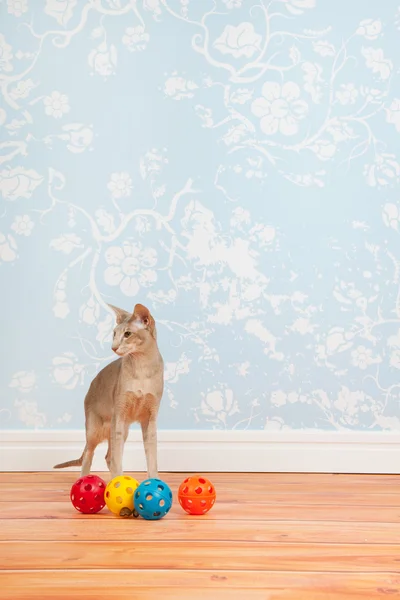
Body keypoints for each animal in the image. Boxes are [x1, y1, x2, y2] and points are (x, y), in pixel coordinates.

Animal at [54, 302, 163, 480]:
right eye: (114, 334)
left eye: (127, 334)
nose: (114, 347)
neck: (142, 369)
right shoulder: (119, 414)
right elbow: (117, 459)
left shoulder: (150, 417)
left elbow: (152, 458)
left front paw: (154, 481)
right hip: (96, 429)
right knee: (90, 455)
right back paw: (86, 480)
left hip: (122, 429)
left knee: (107, 456)